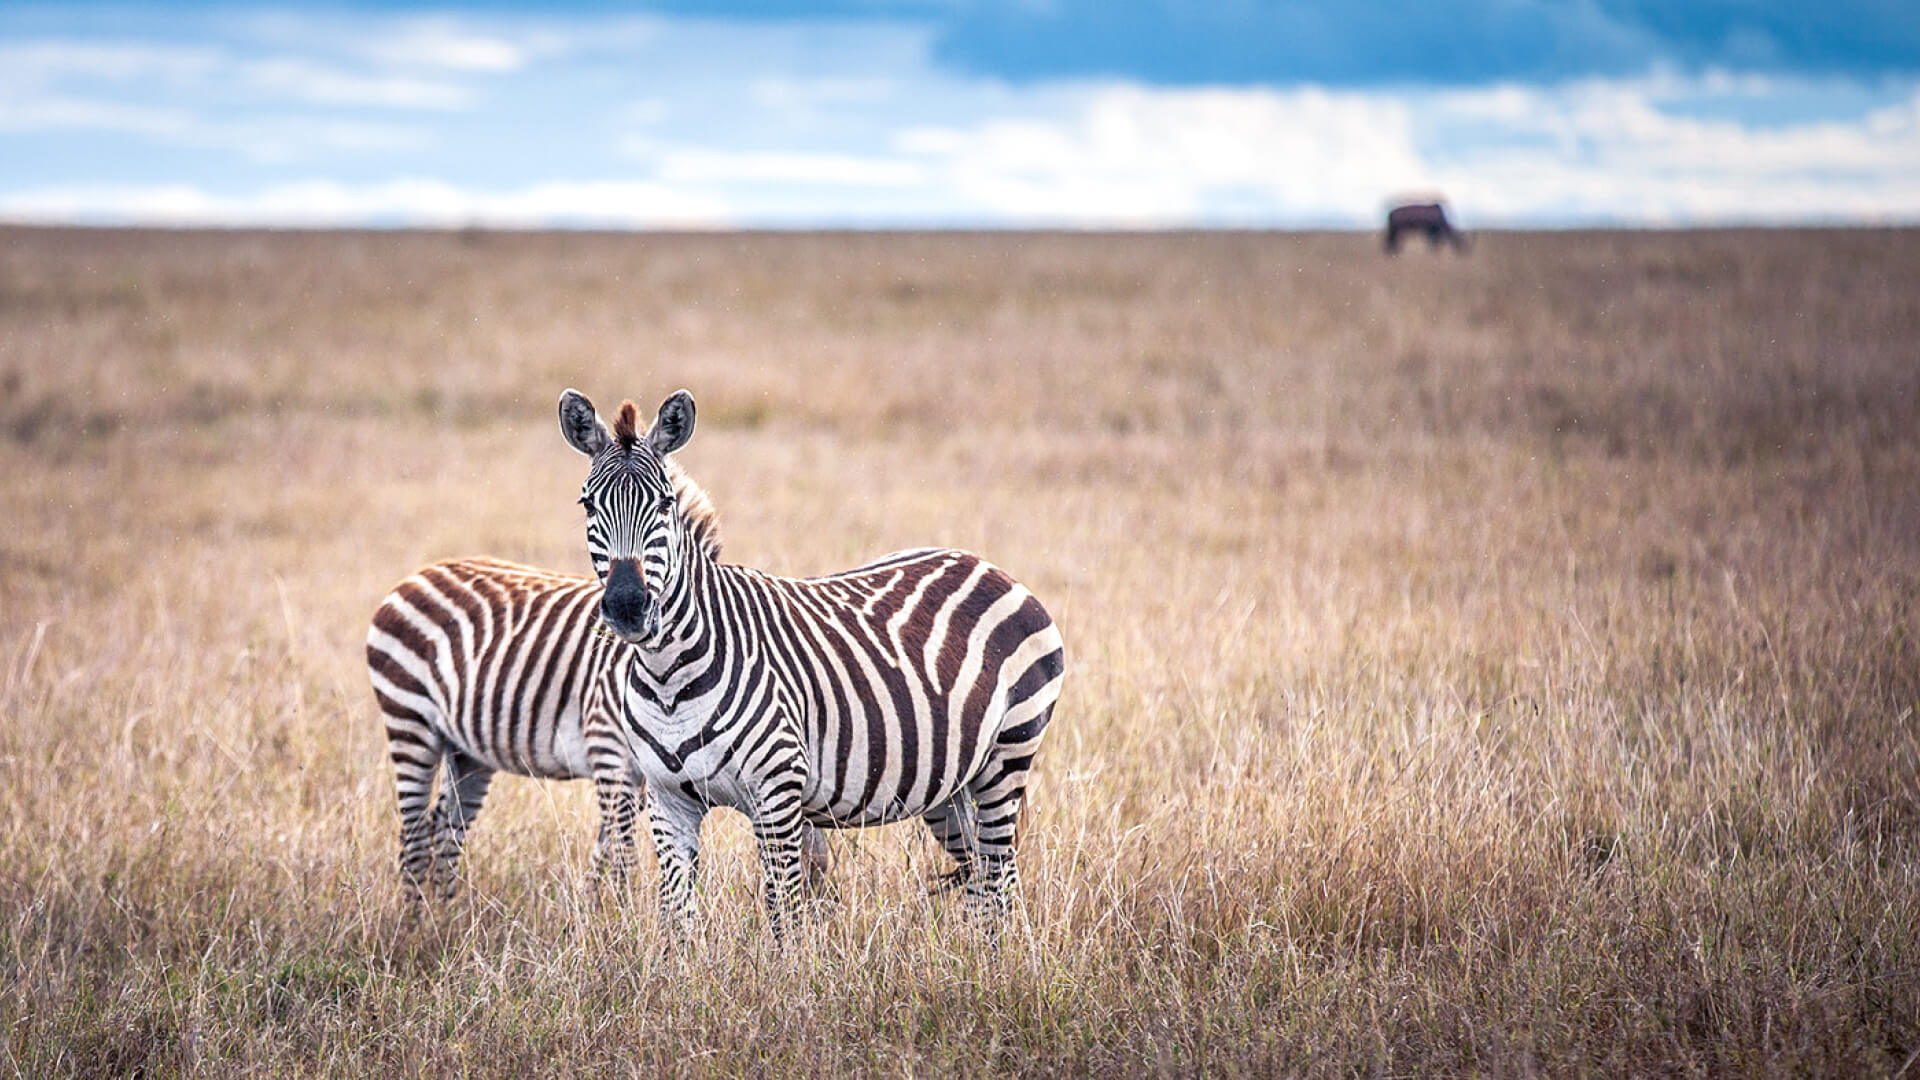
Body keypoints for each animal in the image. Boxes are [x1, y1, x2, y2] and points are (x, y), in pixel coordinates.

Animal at [365, 539, 833, 899]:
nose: (824, 910)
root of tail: (419, 574)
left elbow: (611, 850)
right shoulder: (610, 748)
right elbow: (619, 854)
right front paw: (613, 917)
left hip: (467, 751)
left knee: (443, 828)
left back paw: (444, 917)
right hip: (409, 721)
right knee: (413, 834)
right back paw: (415, 925)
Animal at [558, 387, 1066, 939]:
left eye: (665, 504)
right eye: (587, 504)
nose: (627, 606)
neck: (670, 675)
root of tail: (989, 567)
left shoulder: (777, 792)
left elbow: (783, 914)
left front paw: (784, 964)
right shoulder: (668, 801)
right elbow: (678, 920)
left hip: (1007, 755)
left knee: (999, 875)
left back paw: (994, 953)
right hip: (948, 784)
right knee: (984, 876)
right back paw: (973, 951)